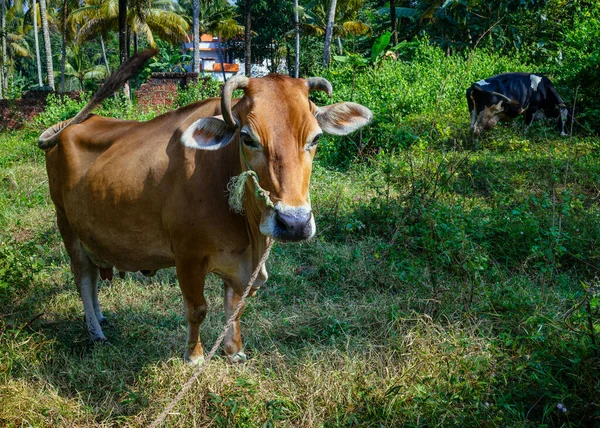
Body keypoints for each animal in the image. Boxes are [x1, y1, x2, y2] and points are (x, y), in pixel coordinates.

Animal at [38, 51, 370, 364]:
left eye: (315, 138)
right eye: (247, 137)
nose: (294, 223)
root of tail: (71, 126)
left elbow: (235, 308)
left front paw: (234, 350)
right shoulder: (187, 256)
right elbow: (197, 309)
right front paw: (195, 356)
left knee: (94, 277)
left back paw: (100, 317)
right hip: (66, 225)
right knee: (83, 278)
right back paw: (96, 332)